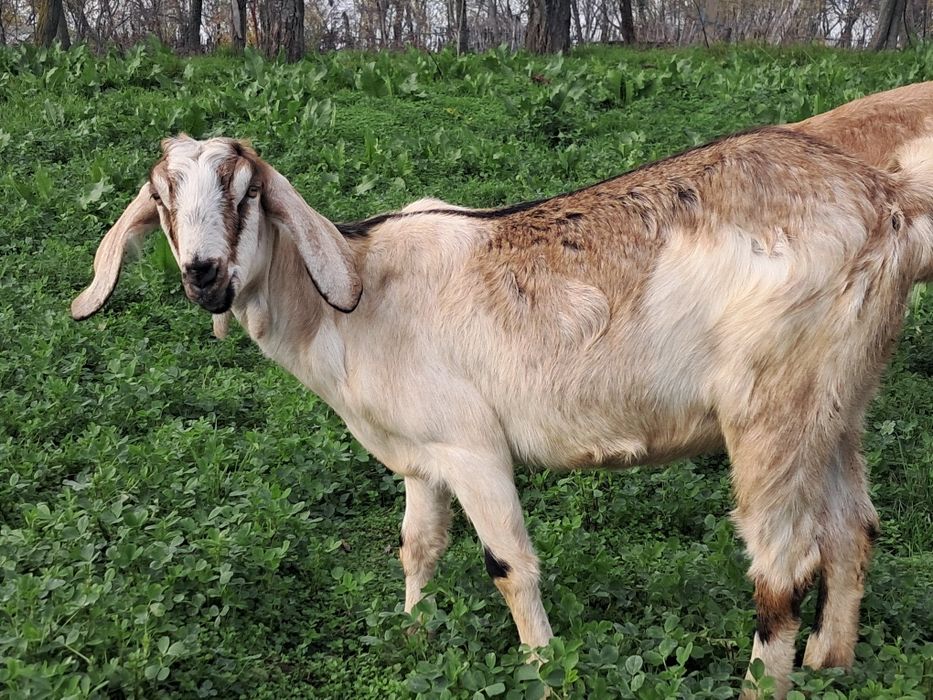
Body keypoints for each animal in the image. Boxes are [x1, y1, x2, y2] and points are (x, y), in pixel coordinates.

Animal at [71, 128, 933, 698]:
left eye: (244, 192)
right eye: (162, 199)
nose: (203, 274)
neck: (359, 298)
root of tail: (885, 204)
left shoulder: (470, 446)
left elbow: (508, 565)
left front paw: (543, 668)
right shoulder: (421, 453)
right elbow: (417, 547)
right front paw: (414, 633)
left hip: (771, 406)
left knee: (781, 565)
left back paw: (763, 681)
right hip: (836, 401)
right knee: (852, 530)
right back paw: (830, 661)